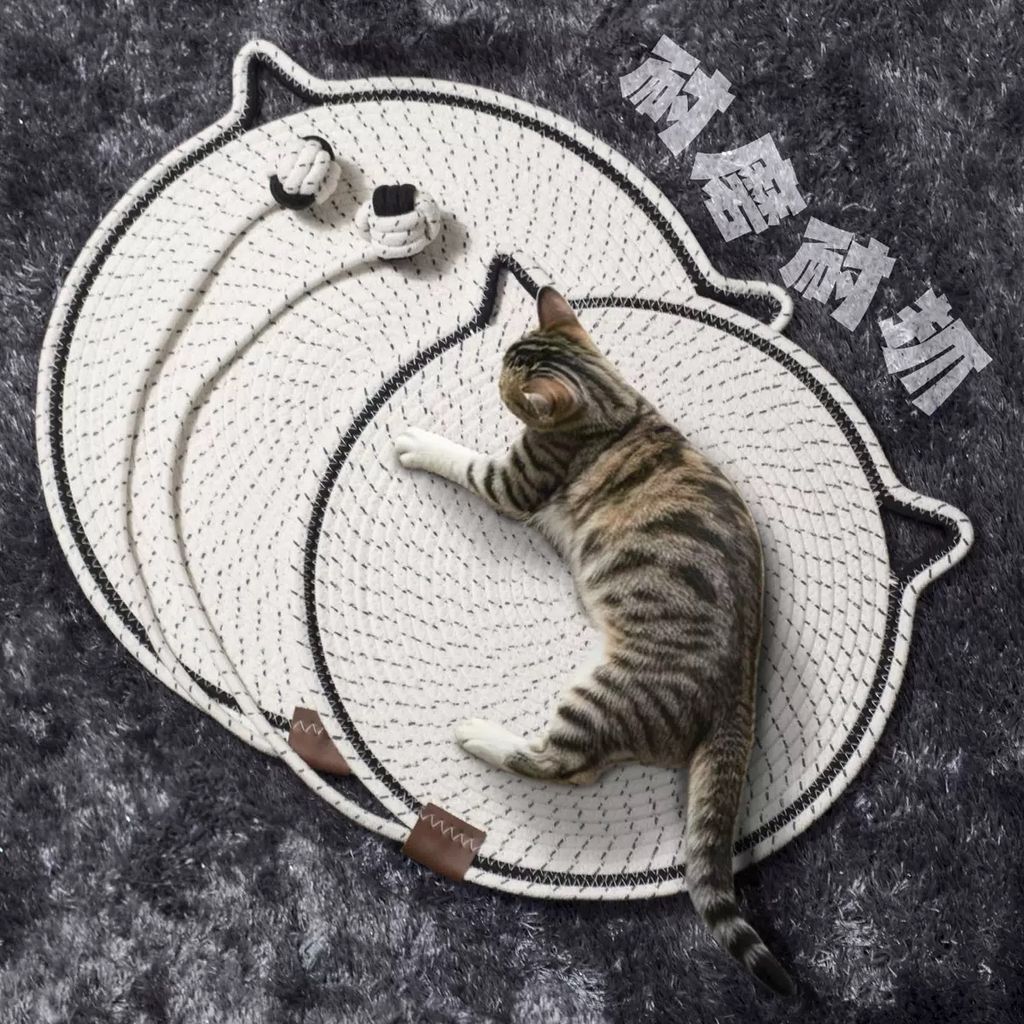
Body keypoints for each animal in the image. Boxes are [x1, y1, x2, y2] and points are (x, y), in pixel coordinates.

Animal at [393, 287, 795, 996]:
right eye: (507, 355)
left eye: (510, 379)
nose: (494, 376)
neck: (615, 404)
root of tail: (739, 697)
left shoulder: (517, 479)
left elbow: (463, 460)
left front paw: (420, 443)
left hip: (603, 694)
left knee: (563, 764)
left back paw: (478, 735)